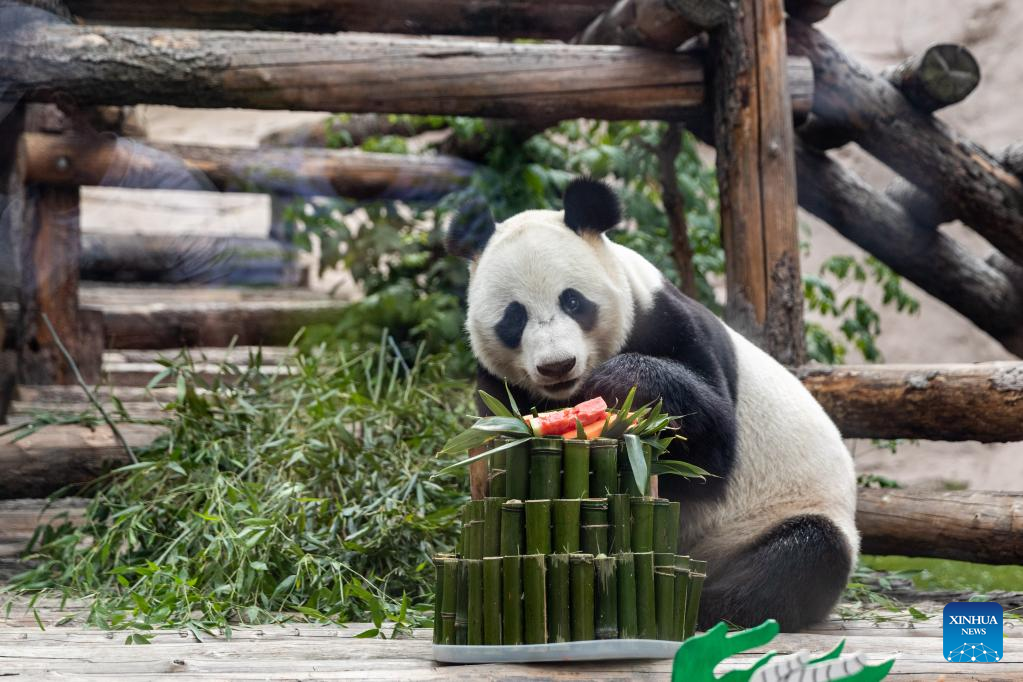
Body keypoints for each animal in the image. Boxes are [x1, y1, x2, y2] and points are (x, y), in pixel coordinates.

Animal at [446, 177, 855, 633]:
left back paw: (710, 604)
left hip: (779, 514)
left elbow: (713, 448)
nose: (557, 365)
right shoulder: (496, 384)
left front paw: (621, 385)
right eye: (514, 317)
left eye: (573, 301)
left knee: (803, 557)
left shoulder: (666, 319)